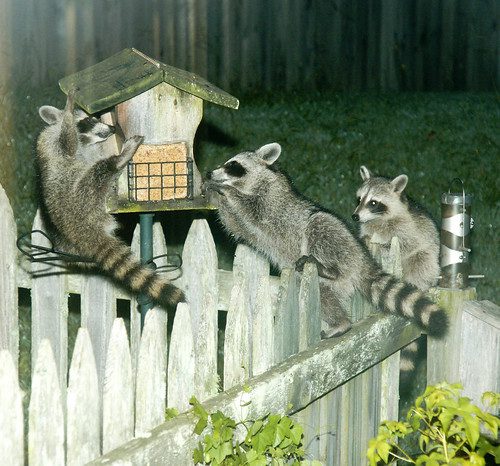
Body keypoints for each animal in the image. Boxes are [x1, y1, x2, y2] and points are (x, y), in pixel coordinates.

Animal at [36, 91, 186, 310]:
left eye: (97, 117)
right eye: (89, 120)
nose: (112, 128)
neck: (87, 142)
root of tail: (80, 231)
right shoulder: (57, 144)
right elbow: (68, 139)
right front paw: (69, 107)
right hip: (82, 198)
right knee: (99, 171)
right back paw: (118, 161)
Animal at [205, 142, 448, 338]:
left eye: (233, 165)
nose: (210, 173)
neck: (254, 182)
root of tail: (363, 259)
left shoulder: (272, 199)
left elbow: (253, 209)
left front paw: (225, 190)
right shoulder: (248, 225)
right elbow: (236, 224)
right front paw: (212, 192)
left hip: (338, 241)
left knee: (318, 223)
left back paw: (331, 271)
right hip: (324, 283)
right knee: (324, 296)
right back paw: (341, 322)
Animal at [352, 167, 442, 374]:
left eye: (373, 202)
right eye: (359, 199)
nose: (355, 216)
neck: (377, 218)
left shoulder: (408, 229)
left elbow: (406, 244)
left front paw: (379, 244)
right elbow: (365, 235)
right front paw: (365, 239)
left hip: (428, 262)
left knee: (421, 260)